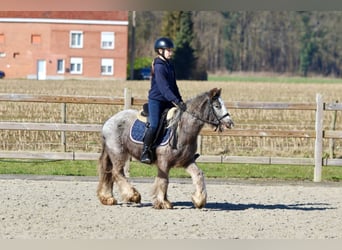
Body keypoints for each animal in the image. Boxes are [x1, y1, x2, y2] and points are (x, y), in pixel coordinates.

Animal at [97, 88, 234, 209]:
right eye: (217, 106)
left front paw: (199, 200)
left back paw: (107, 198)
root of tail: (109, 121)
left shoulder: (187, 160)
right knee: (116, 172)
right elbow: (163, 181)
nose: (230, 123)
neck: (182, 129)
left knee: (108, 173)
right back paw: (133, 196)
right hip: (118, 153)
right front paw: (162, 203)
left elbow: (198, 174)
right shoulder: (164, 162)